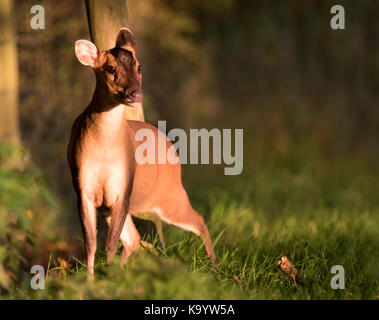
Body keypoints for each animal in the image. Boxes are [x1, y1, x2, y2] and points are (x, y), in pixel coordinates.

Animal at [67, 28, 217, 278]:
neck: (103, 153)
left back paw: (214, 266)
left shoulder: (123, 187)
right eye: (110, 68)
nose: (136, 94)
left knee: (199, 219)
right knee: (134, 240)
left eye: (139, 67)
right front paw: (91, 280)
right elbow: (91, 244)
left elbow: (110, 244)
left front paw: (106, 277)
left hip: (170, 194)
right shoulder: (84, 190)